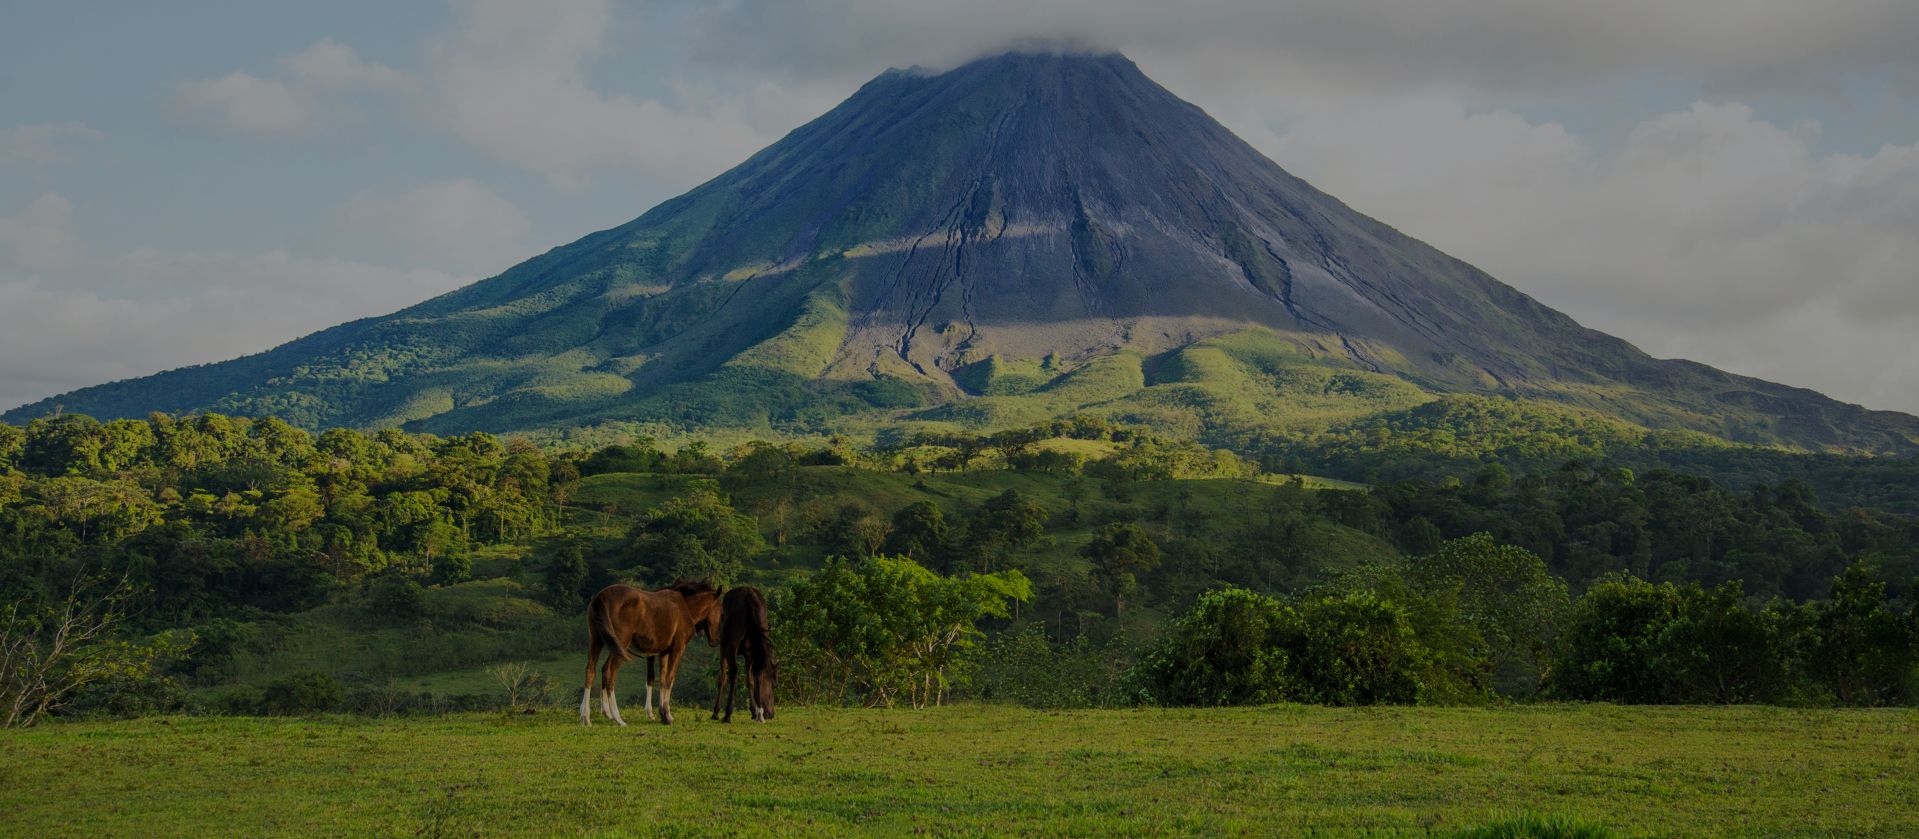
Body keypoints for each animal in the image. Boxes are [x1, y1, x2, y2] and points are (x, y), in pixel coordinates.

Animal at [579, 579, 721, 721]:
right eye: (720, 611)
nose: (715, 640)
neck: (684, 607)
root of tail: (601, 597)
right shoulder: (677, 648)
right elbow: (669, 679)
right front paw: (667, 714)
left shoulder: (662, 652)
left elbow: (659, 679)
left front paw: (659, 712)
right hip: (620, 645)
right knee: (609, 673)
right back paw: (617, 717)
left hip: (598, 641)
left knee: (591, 671)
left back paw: (588, 715)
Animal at [710, 583, 775, 718]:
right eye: (773, 686)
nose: (771, 713)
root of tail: (748, 596)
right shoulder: (747, 652)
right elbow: (749, 680)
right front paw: (754, 710)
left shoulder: (725, 647)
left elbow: (723, 677)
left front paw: (716, 711)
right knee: (748, 674)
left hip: (731, 645)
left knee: (733, 672)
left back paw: (727, 714)